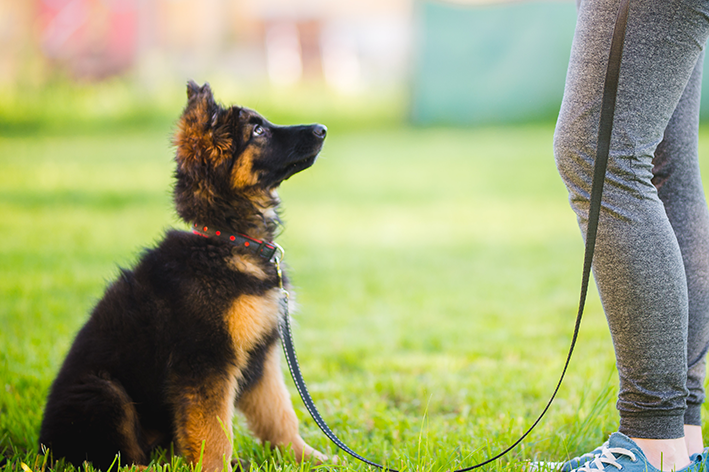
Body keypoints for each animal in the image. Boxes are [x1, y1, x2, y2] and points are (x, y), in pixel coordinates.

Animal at [37, 82, 328, 472]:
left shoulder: (261, 357)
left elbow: (280, 414)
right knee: (116, 458)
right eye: (258, 131)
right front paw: (219, 468)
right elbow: (215, 434)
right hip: (104, 392)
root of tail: (43, 447)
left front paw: (309, 457)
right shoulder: (205, 361)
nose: (322, 129)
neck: (226, 240)